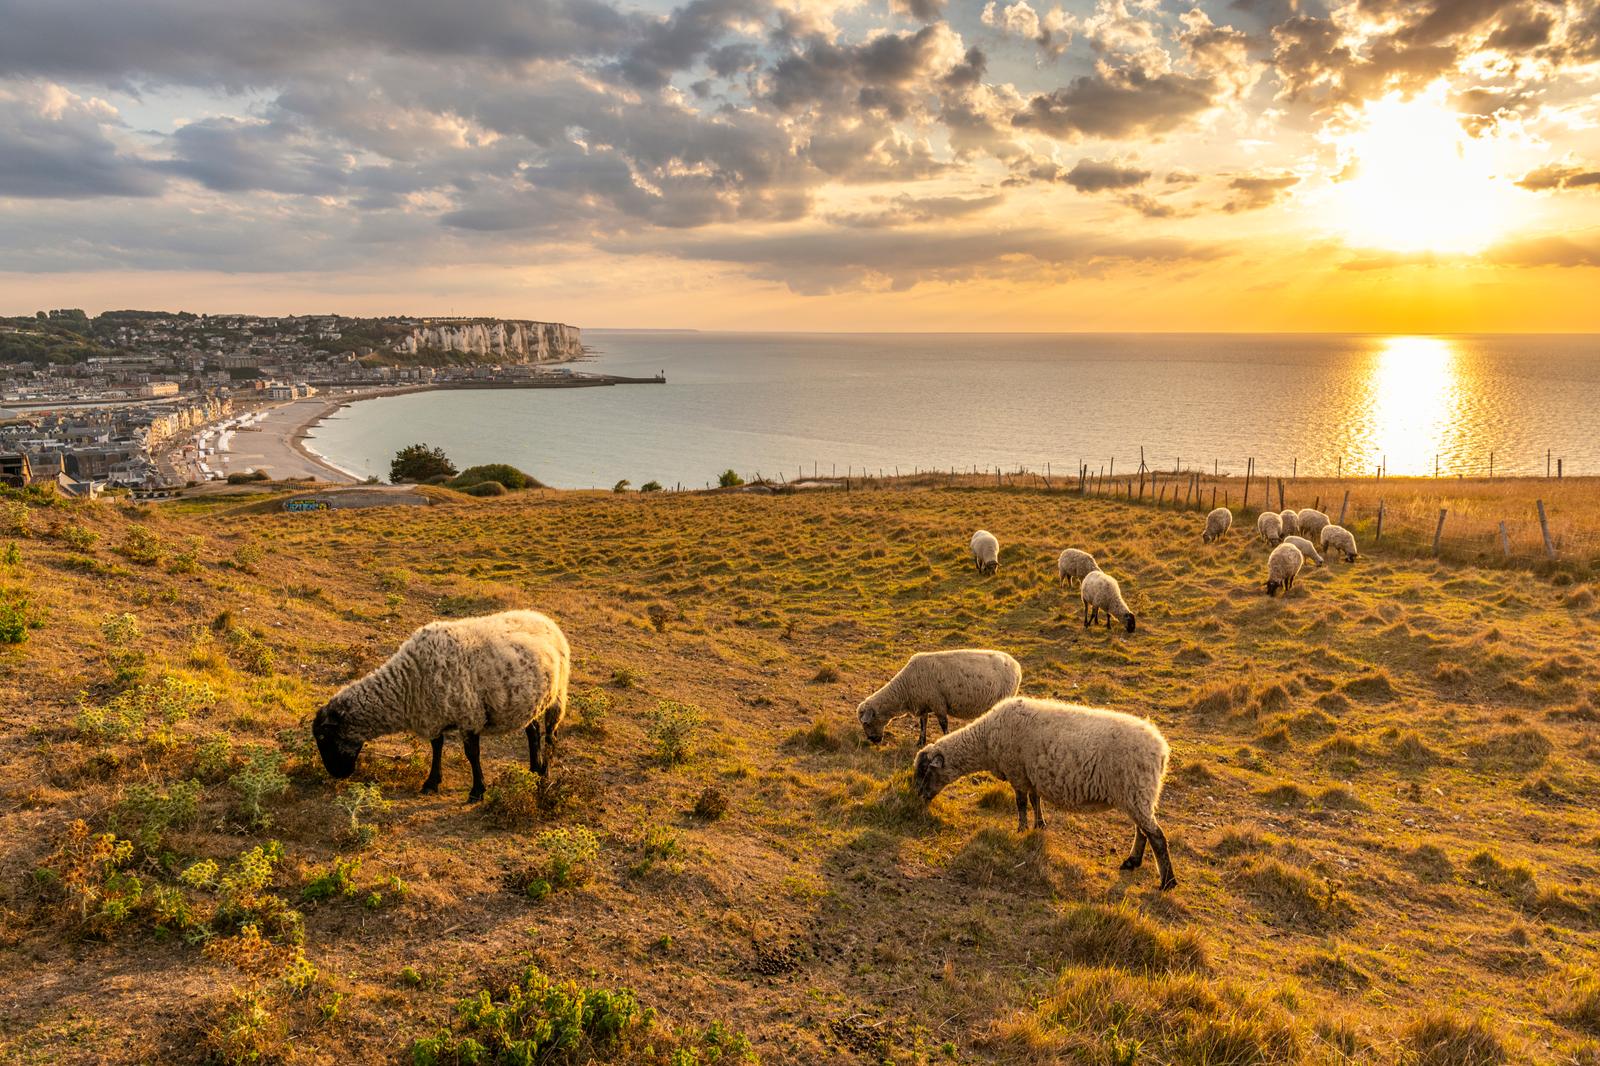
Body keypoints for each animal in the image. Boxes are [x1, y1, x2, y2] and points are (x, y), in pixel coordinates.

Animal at [312, 609, 571, 803]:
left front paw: (477, 791)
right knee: (533, 733)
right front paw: (431, 782)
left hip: (558, 695)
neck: (408, 683)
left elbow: (472, 754)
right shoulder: (433, 716)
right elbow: (436, 747)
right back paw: (534, 770)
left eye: (324, 738)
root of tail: (544, 618)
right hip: (531, 701)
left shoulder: (470, 716)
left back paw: (545, 774)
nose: (337, 774)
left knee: (550, 737)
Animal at [857, 649, 1022, 745]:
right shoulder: (924, 704)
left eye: (866, 723)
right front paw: (920, 742)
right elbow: (923, 724)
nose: (873, 741)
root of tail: (1017, 666)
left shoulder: (938, 704)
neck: (904, 688)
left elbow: (943, 725)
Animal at [913, 697, 1176, 889]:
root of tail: (1161, 748)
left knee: (1156, 835)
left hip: (1136, 790)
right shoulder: (1031, 776)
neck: (985, 740)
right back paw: (1132, 862)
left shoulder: (1017, 772)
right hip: (1137, 795)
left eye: (925, 772)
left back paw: (1167, 882)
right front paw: (1039, 825)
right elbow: (1034, 800)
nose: (918, 799)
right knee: (1142, 831)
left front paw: (1020, 829)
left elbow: (1020, 803)